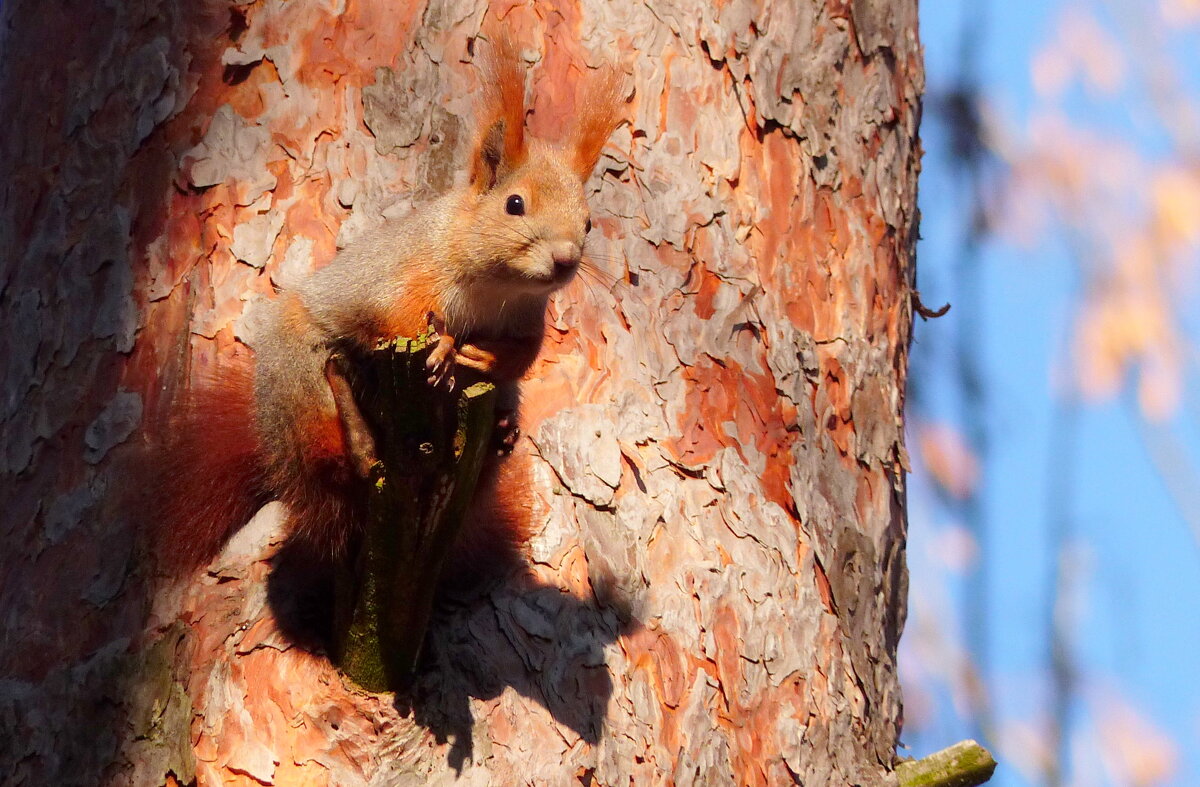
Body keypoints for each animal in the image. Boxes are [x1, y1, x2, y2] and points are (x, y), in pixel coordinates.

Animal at [153, 33, 624, 575]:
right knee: (330, 455)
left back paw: (501, 434)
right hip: (299, 382)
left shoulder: (527, 319)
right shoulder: (402, 276)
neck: (498, 288)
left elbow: (523, 357)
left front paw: (483, 355)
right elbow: (395, 315)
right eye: (515, 205)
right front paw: (442, 348)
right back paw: (354, 435)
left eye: (587, 222)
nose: (567, 260)